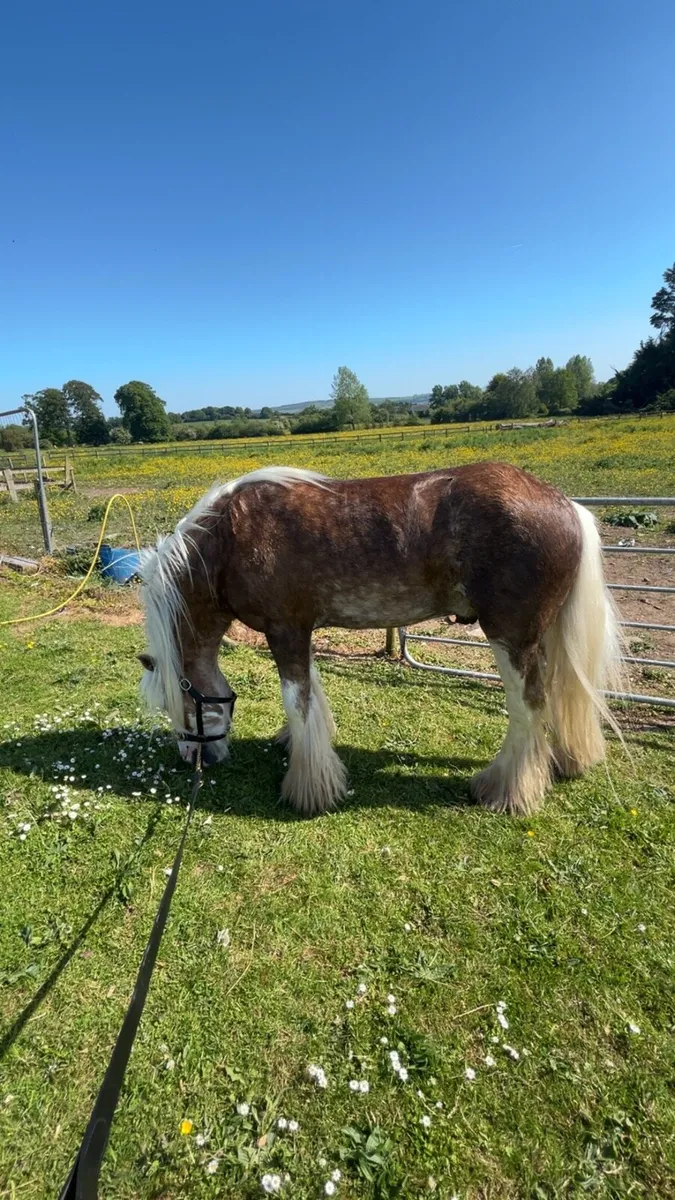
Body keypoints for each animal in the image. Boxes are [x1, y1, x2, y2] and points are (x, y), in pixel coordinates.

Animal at [138, 463, 621, 817]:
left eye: (175, 700)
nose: (193, 758)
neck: (230, 539)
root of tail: (567, 505)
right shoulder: (301, 631)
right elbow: (311, 694)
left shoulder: (286, 630)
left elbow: (297, 700)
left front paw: (308, 788)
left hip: (511, 636)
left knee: (528, 705)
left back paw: (505, 788)